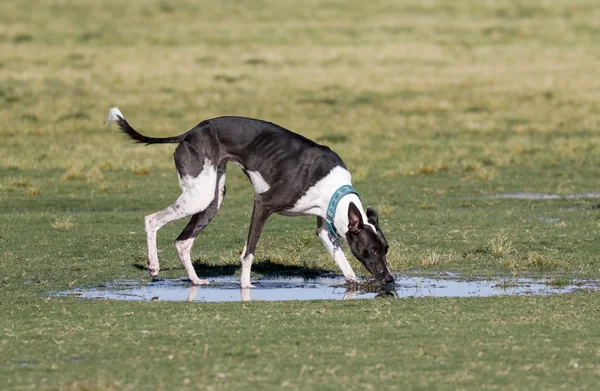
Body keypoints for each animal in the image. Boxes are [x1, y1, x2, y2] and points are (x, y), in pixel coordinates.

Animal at [105, 108, 394, 290]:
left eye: (385, 249)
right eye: (372, 250)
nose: (389, 279)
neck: (332, 187)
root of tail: (190, 132)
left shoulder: (325, 226)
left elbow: (341, 258)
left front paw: (353, 280)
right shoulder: (262, 204)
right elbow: (248, 251)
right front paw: (245, 284)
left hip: (212, 199)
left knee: (182, 242)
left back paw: (196, 281)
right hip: (198, 197)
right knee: (151, 220)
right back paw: (153, 266)